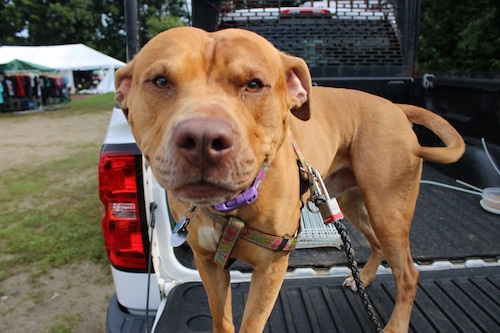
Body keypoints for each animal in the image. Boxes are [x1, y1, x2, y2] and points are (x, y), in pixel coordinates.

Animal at [114, 26, 464, 332]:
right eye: (160, 81)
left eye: (254, 85)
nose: (202, 138)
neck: (232, 207)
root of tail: (395, 107)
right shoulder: (208, 265)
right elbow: (222, 320)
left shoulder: (270, 269)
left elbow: (251, 324)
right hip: (353, 203)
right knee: (376, 244)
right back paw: (361, 279)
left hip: (388, 210)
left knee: (408, 274)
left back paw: (395, 325)